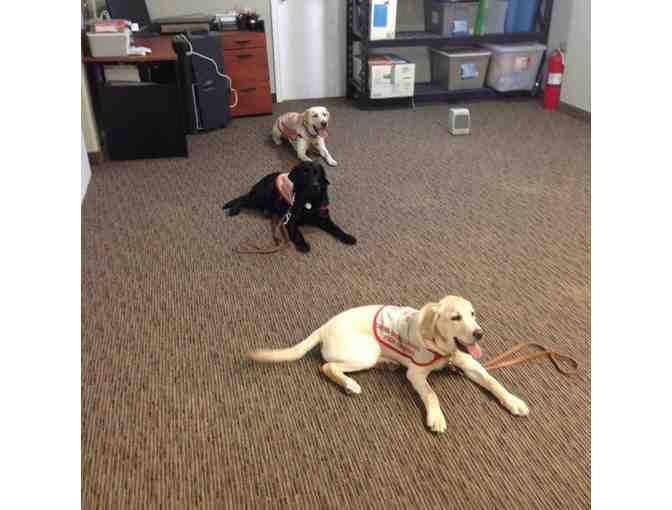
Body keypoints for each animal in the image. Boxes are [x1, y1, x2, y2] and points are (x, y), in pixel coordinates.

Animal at [222, 161, 356, 253]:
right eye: (304, 173)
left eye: (318, 173)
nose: (315, 186)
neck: (309, 200)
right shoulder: (290, 219)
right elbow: (297, 233)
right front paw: (303, 244)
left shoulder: (324, 218)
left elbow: (336, 228)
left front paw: (347, 237)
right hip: (262, 195)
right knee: (244, 199)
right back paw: (234, 209)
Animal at [248, 296, 529, 433]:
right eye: (455, 317)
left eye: (473, 314)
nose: (480, 333)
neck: (442, 349)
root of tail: (324, 327)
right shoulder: (416, 373)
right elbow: (432, 394)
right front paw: (436, 417)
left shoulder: (470, 363)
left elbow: (493, 381)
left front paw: (513, 401)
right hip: (367, 352)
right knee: (327, 367)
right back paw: (350, 384)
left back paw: (387, 365)